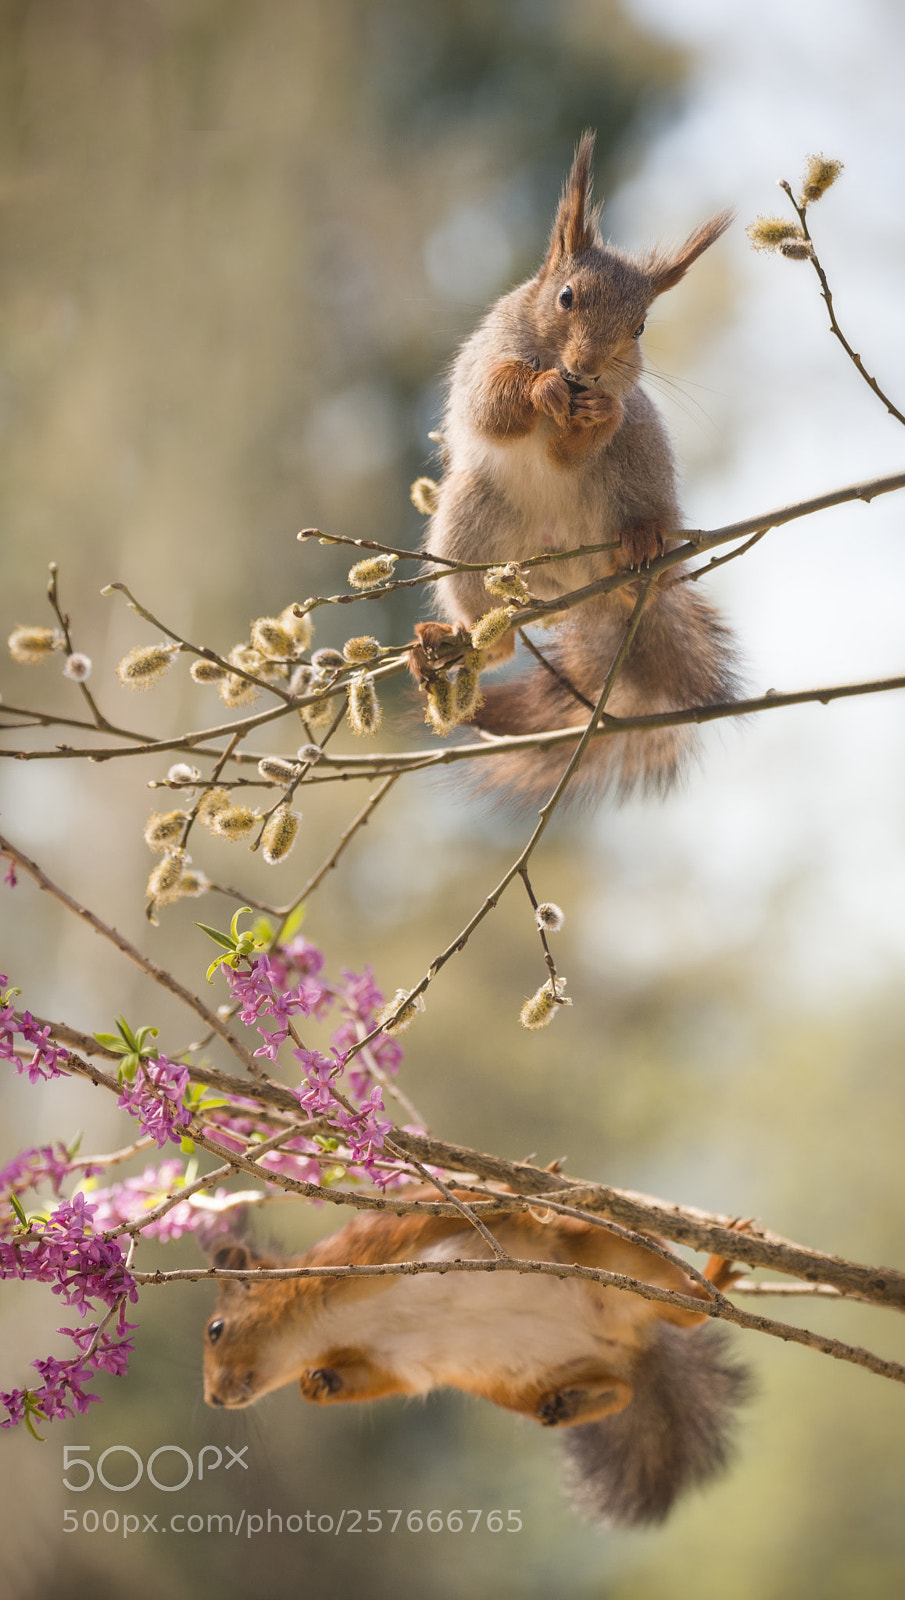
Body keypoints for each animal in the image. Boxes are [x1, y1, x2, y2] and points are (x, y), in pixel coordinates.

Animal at [203, 1196, 749, 1526]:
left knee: (688, 1311)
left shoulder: (376, 1242)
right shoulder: (383, 1359)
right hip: (527, 1382)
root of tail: (630, 1339)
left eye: (215, 1330)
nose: (212, 1399)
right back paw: (574, 1403)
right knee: (627, 1386)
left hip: (611, 1251)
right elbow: (384, 1380)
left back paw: (718, 1272)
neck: (317, 1328)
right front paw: (315, 1384)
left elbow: (453, 1207)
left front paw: (514, 1187)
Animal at [410, 131, 738, 801]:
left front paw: (594, 414)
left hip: (640, 476)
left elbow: (578, 444)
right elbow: (492, 407)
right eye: (566, 297)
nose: (586, 368)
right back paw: (451, 642)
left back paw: (638, 546)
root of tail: (569, 584)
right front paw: (538, 390)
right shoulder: (483, 363)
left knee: (639, 555)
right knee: (496, 639)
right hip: (469, 533)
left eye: (640, 327)